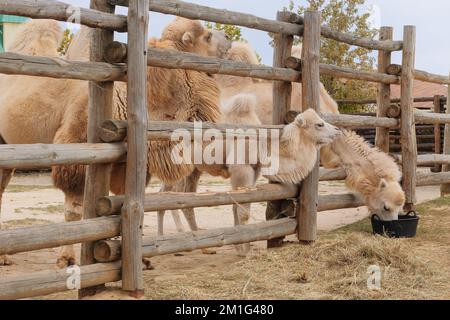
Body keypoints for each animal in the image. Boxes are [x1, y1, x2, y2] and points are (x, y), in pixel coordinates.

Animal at [0, 18, 232, 268]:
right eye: (207, 36)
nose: (229, 38)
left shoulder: (123, 164)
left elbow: (122, 204)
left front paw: (137, 258)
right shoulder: (76, 152)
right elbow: (74, 210)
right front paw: (68, 259)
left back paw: (4, 257)